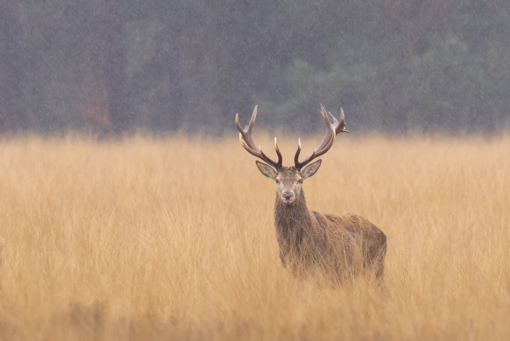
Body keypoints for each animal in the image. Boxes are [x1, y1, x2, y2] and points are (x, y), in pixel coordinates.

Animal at [235, 104, 386, 282]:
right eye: (277, 180)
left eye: (300, 180)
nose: (287, 195)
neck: (294, 247)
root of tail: (383, 235)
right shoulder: (291, 268)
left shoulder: (322, 268)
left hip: (376, 269)